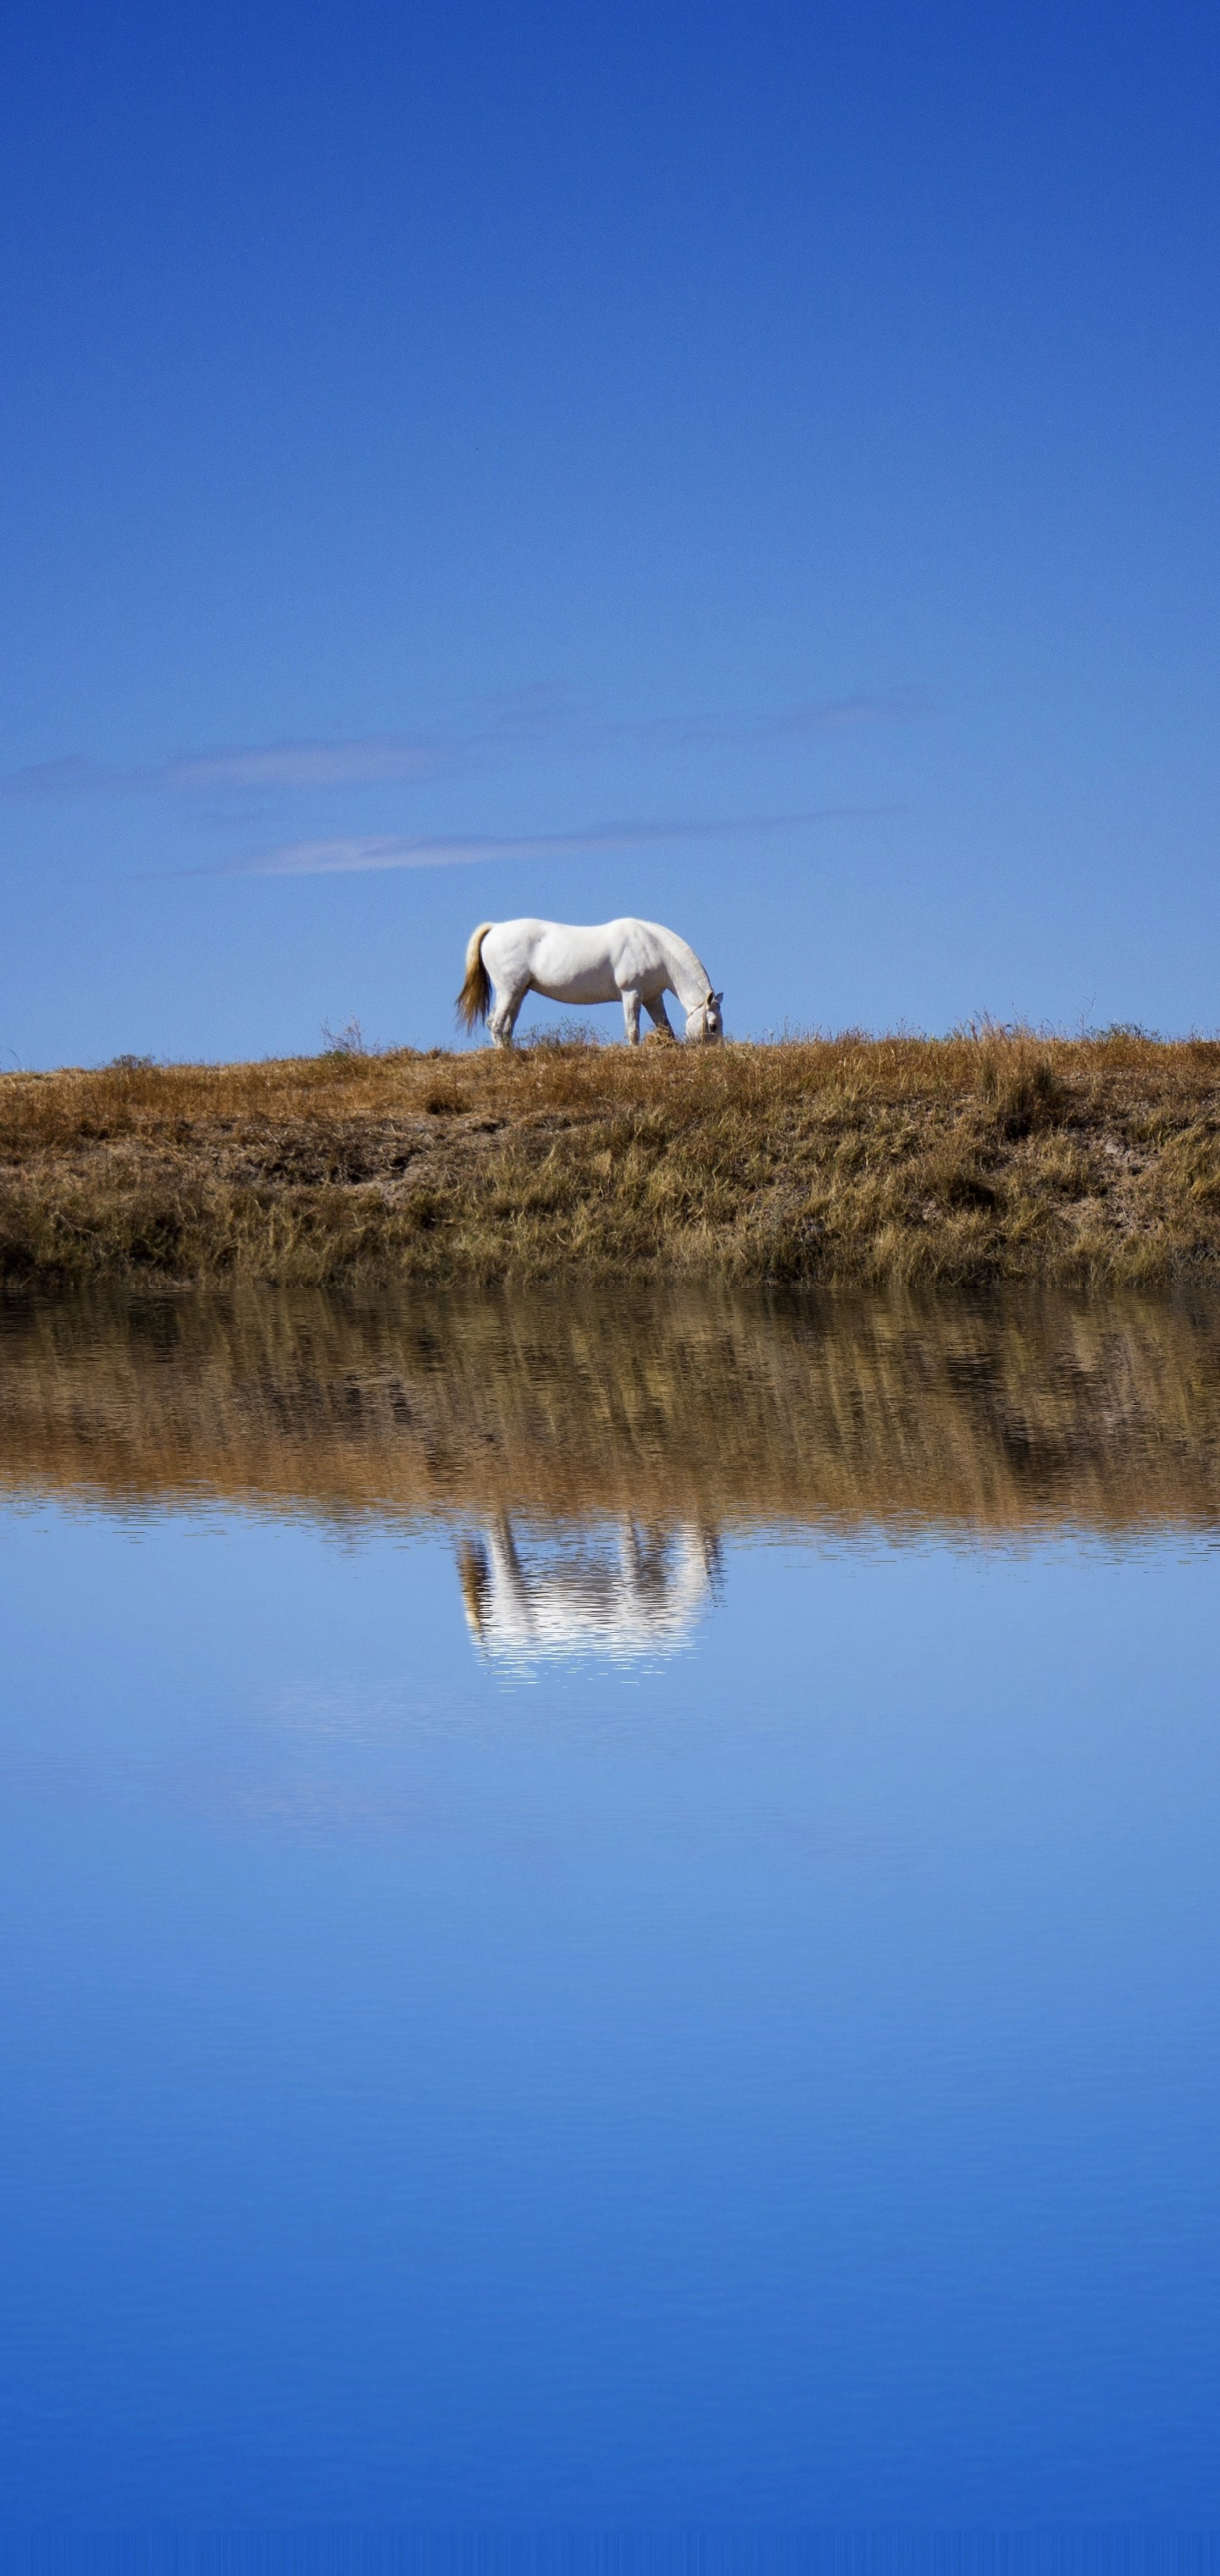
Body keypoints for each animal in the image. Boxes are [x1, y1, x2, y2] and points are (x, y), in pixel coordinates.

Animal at [456, 916, 724, 1048]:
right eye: (712, 1025)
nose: (715, 1053)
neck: (653, 947)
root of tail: (495, 929)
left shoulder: (652, 998)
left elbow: (665, 1028)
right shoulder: (631, 993)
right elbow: (633, 1030)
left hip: (519, 992)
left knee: (505, 1026)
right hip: (509, 990)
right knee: (496, 1024)